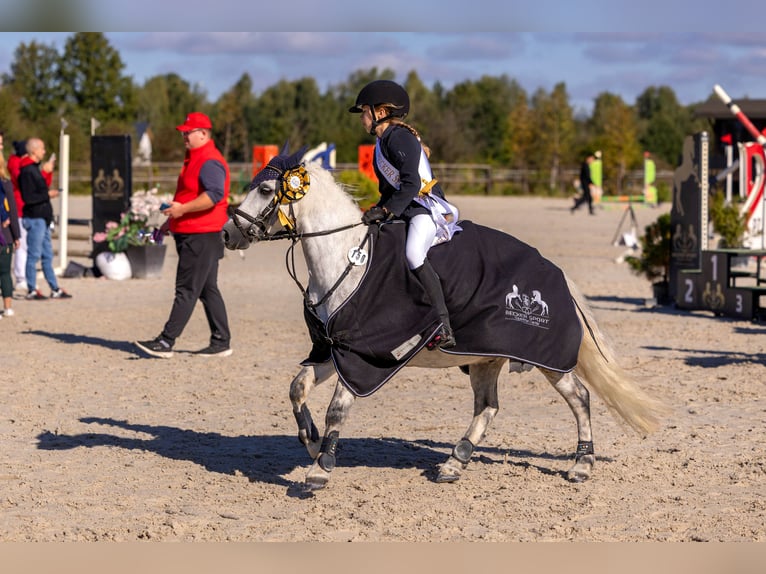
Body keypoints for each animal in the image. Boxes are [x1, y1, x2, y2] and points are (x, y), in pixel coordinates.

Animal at [222, 148, 667, 491]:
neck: (345, 256)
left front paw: (321, 468)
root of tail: (555, 271)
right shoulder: (336, 348)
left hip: (547, 358)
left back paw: (581, 465)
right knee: (488, 407)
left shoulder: (362, 356)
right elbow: (297, 387)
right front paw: (313, 443)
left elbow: (337, 409)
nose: (228, 234)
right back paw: (455, 461)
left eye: (265, 190)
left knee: (580, 398)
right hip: (486, 358)